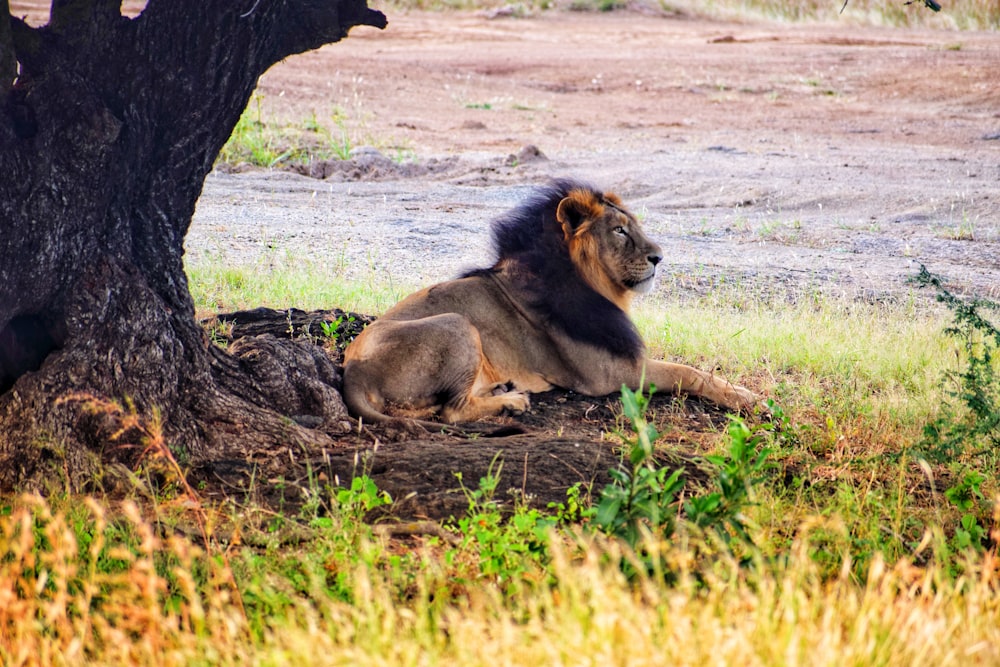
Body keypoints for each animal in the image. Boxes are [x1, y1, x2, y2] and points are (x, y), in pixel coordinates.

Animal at [344, 180, 756, 426]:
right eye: (619, 231)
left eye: (635, 226)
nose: (659, 257)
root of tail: (352, 372)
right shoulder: (610, 374)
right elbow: (689, 371)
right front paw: (748, 398)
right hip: (457, 324)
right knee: (451, 411)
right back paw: (513, 402)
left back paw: (502, 390)